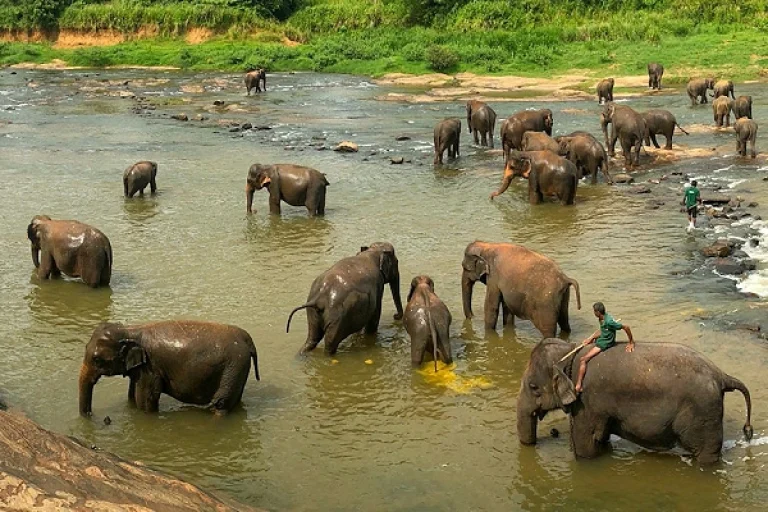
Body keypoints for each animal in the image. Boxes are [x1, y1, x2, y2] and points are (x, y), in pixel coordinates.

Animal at [79, 320, 259, 416]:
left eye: (96, 359)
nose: (90, 415)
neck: (130, 329)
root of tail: (247, 338)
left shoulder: (151, 369)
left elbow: (145, 402)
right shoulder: (141, 369)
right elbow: (132, 396)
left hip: (233, 368)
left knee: (221, 405)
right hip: (238, 370)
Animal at [516, 338, 753, 464]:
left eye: (533, 387)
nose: (550, 435)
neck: (570, 350)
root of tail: (721, 375)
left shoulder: (587, 401)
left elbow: (585, 444)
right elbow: (600, 439)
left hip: (703, 413)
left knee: (706, 453)